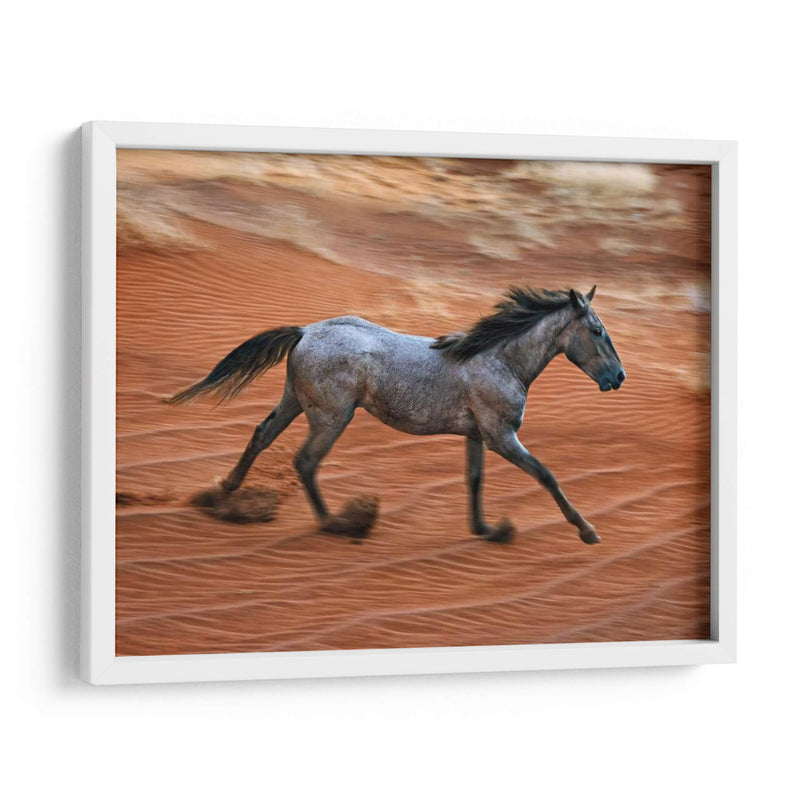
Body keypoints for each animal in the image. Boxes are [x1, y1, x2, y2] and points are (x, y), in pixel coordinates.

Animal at [167, 285, 625, 543]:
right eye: (597, 331)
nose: (619, 377)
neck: (500, 360)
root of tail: (306, 332)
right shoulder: (501, 436)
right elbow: (546, 474)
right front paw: (587, 531)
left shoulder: (477, 435)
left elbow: (474, 480)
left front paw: (487, 530)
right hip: (332, 417)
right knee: (305, 461)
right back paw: (336, 523)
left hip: (295, 401)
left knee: (262, 435)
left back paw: (223, 493)